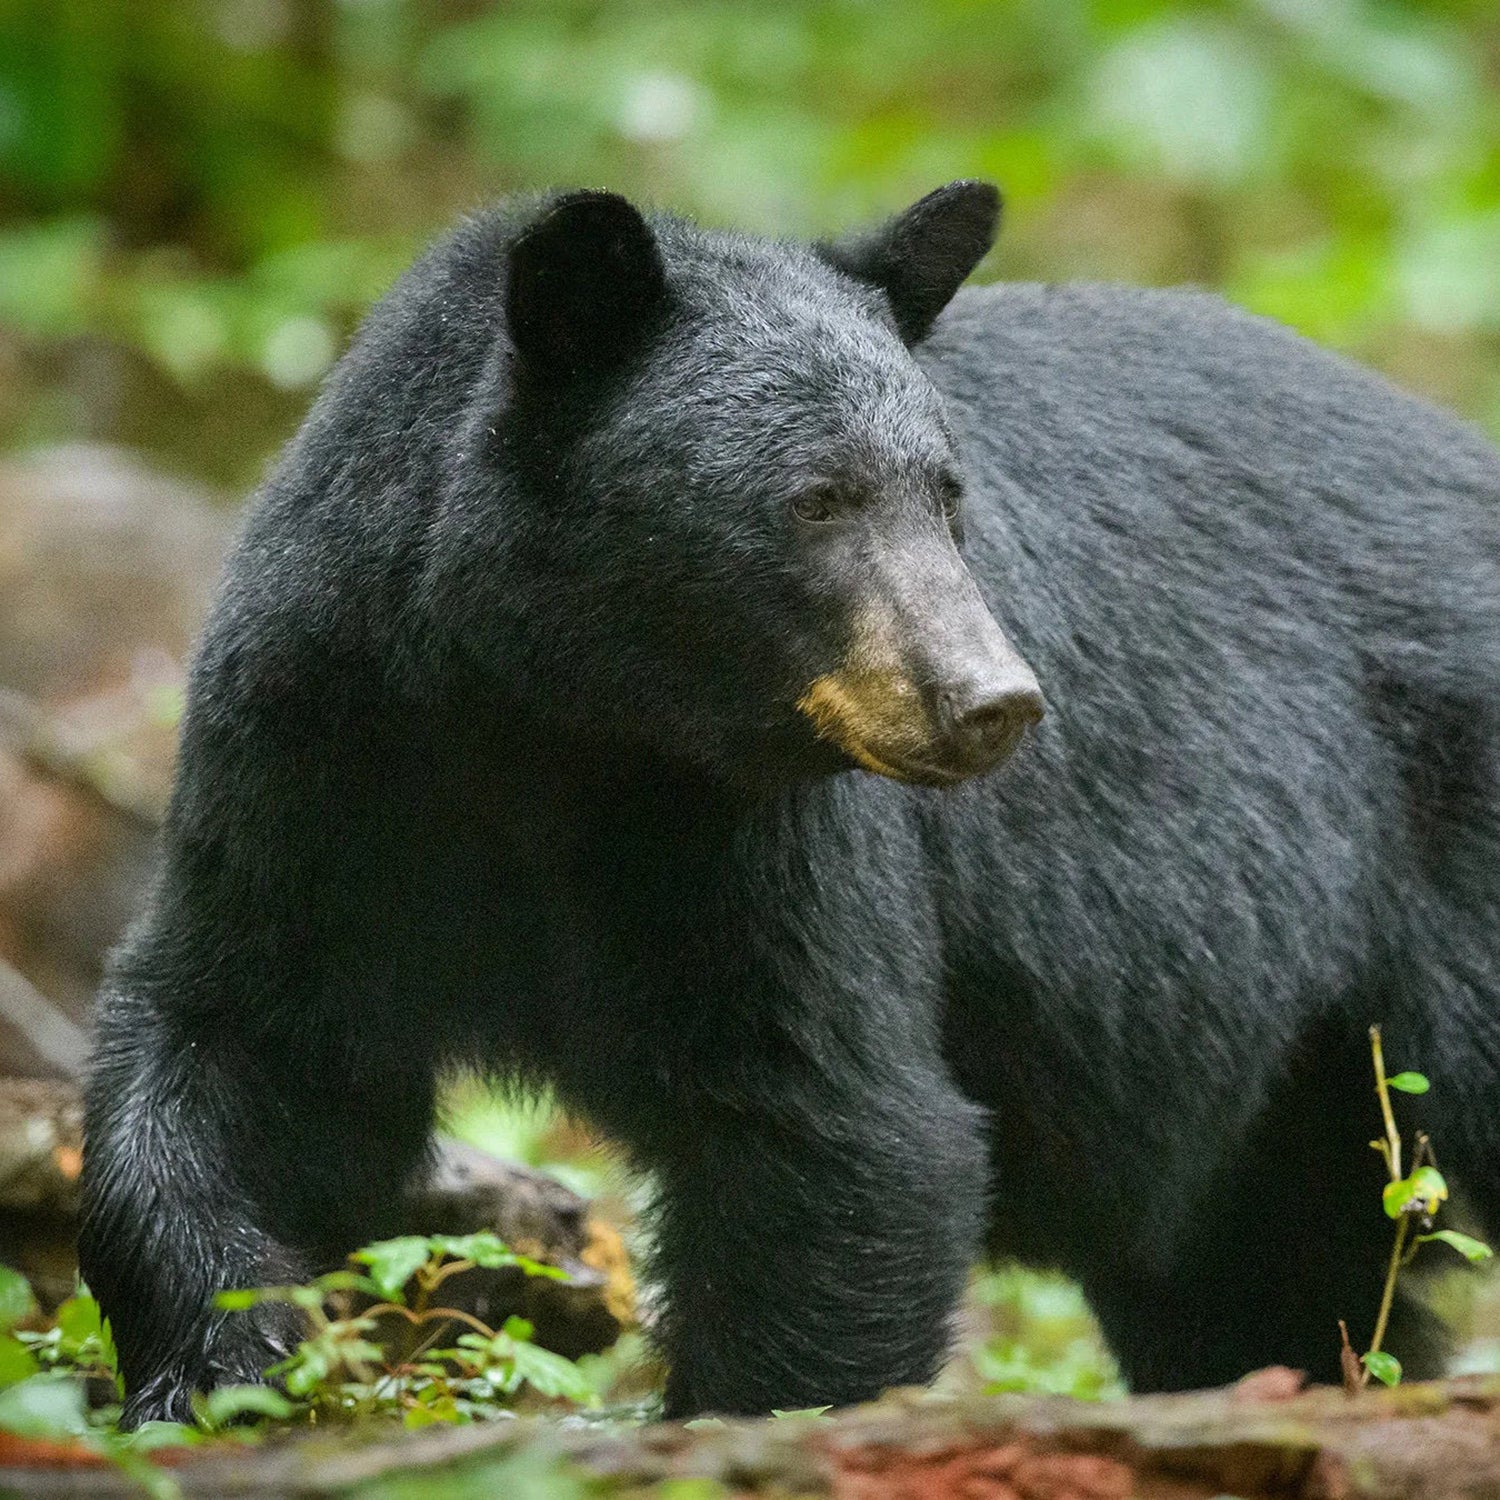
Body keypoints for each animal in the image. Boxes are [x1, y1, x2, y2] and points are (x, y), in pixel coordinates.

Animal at [79, 181, 1500, 1422]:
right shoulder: (319, 751)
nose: (993, 700)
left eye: (947, 493)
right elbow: (250, 1047)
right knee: (1263, 1270)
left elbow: (836, 1131)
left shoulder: (756, 835)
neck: (552, 719)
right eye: (815, 498)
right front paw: (223, 1366)